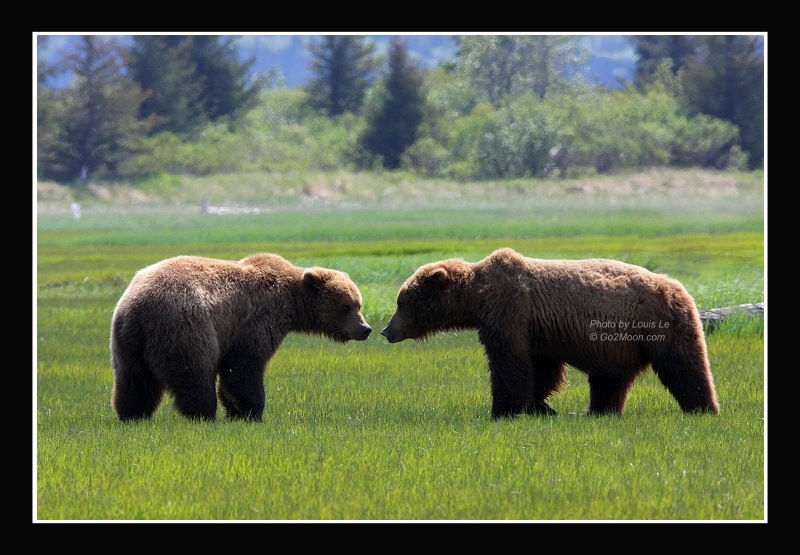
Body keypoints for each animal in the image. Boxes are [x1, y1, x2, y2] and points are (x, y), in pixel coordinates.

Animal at [110, 253, 372, 422]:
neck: (292, 301)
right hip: (185, 326)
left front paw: (236, 412)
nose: (365, 329)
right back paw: (203, 414)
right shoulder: (259, 318)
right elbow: (244, 364)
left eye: (358, 303)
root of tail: (137, 307)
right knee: (194, 371)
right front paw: (252, 411)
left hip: (127, 342)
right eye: (346, 306)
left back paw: (132, 415)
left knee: (134, 380)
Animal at [381, 247, 719, 419]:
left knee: (684, 366)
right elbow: (542, 369)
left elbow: (509, 363)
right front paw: (540, 406)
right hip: (618, 345)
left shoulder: (509, 311)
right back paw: (597, 412)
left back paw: (703, 408)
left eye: (402, 302)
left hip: (658, 326)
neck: (477, 296)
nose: (385, 330)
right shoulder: (537, 330)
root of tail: (677, 287)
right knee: (610, 379)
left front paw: (503, 410)